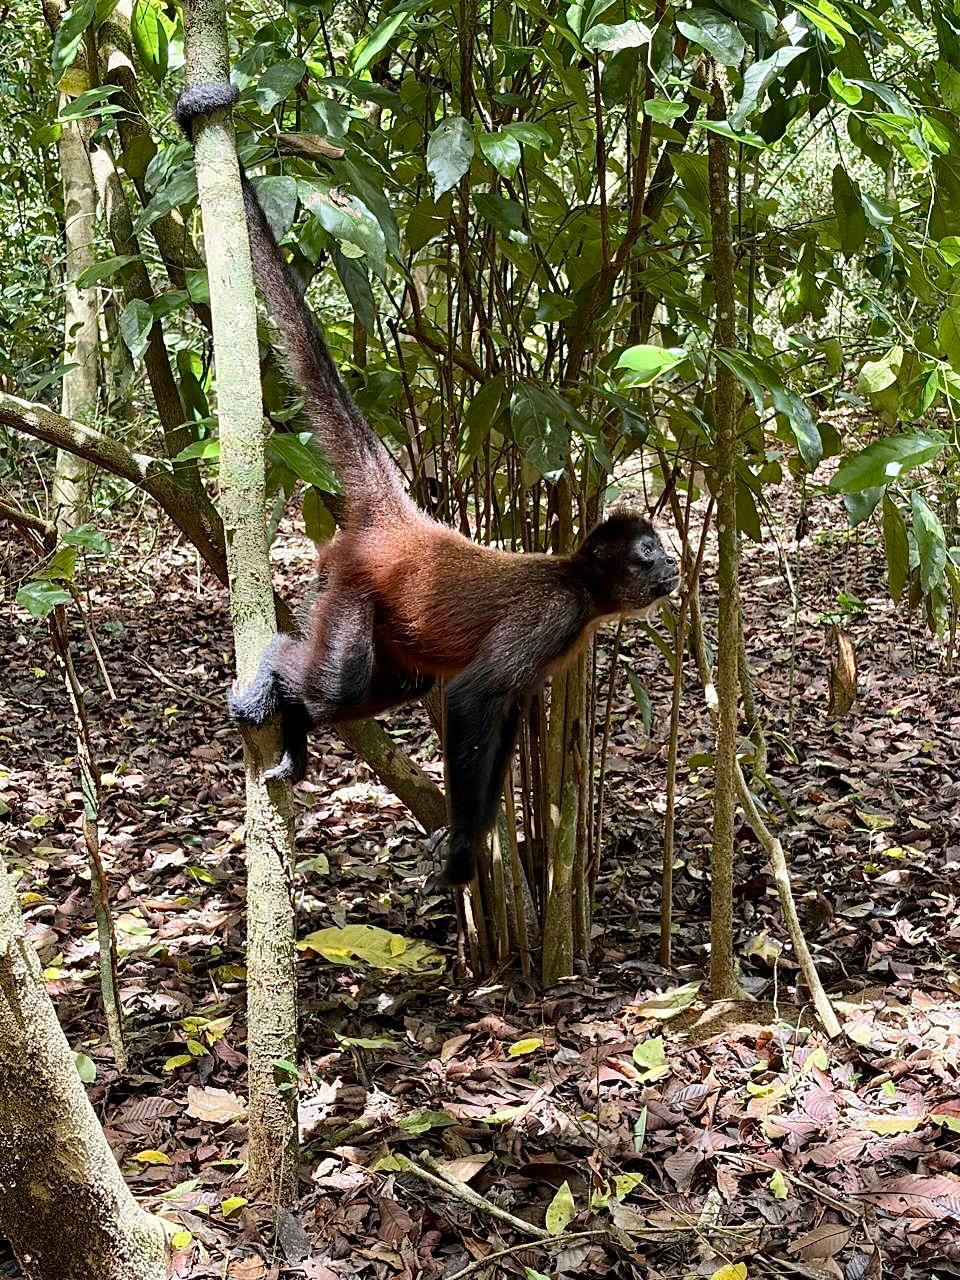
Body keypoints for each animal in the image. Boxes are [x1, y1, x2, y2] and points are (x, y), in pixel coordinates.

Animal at [176, 83, 680, 886]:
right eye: (648, 553)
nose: (673, 566)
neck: (577, 578)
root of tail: (403, 522)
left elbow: (506, 713)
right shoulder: (556, 614)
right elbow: (475, 697)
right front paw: (467, 847)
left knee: (398, 683)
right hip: (349, 582)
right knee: (339, 680)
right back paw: (274, 678)